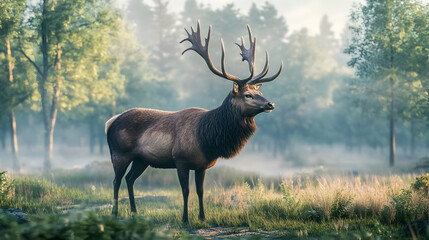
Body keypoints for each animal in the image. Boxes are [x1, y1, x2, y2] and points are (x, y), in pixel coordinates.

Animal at [105, 21, 282, 222]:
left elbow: (200, 191)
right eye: (248, 95)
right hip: (119, 153)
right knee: (116, 180)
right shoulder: (180, 160)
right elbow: (185, 191)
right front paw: (185, 219)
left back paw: (134, 211)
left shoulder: (202, 165)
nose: (270, 103)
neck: (207, 139)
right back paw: (115, 212)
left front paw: (202, 217)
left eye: (260, 92)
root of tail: (111, 122)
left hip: (141, 159)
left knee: (130, 179)